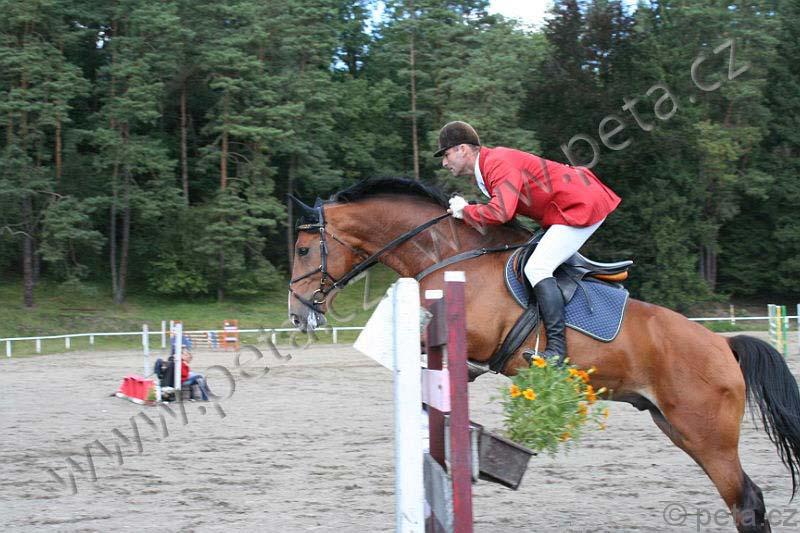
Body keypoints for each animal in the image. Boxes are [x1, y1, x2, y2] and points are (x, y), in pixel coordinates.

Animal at [287, 177, 800, 532]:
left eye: (304, 249)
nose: (296, 314)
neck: (448, 254)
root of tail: (723, 344)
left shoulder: (467, 335)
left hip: (707, 436)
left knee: (745, 501)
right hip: (676, 427)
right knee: (746, 500)